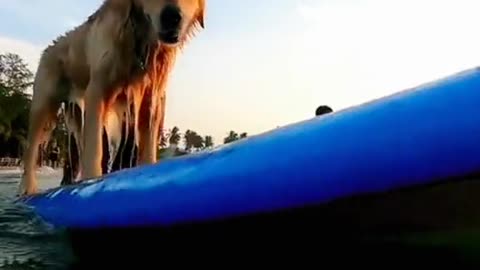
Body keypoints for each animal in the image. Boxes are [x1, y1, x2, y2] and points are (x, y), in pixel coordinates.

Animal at [19, 0, 204, 195]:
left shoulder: (151, 99)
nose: (171, 17)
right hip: (43, 107)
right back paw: (28, 187)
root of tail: (50, 47)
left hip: (75, 114)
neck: (139, 38)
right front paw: (91, 182)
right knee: (31, 149)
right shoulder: (97, 90)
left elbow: (148, 147)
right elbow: (95, 148)